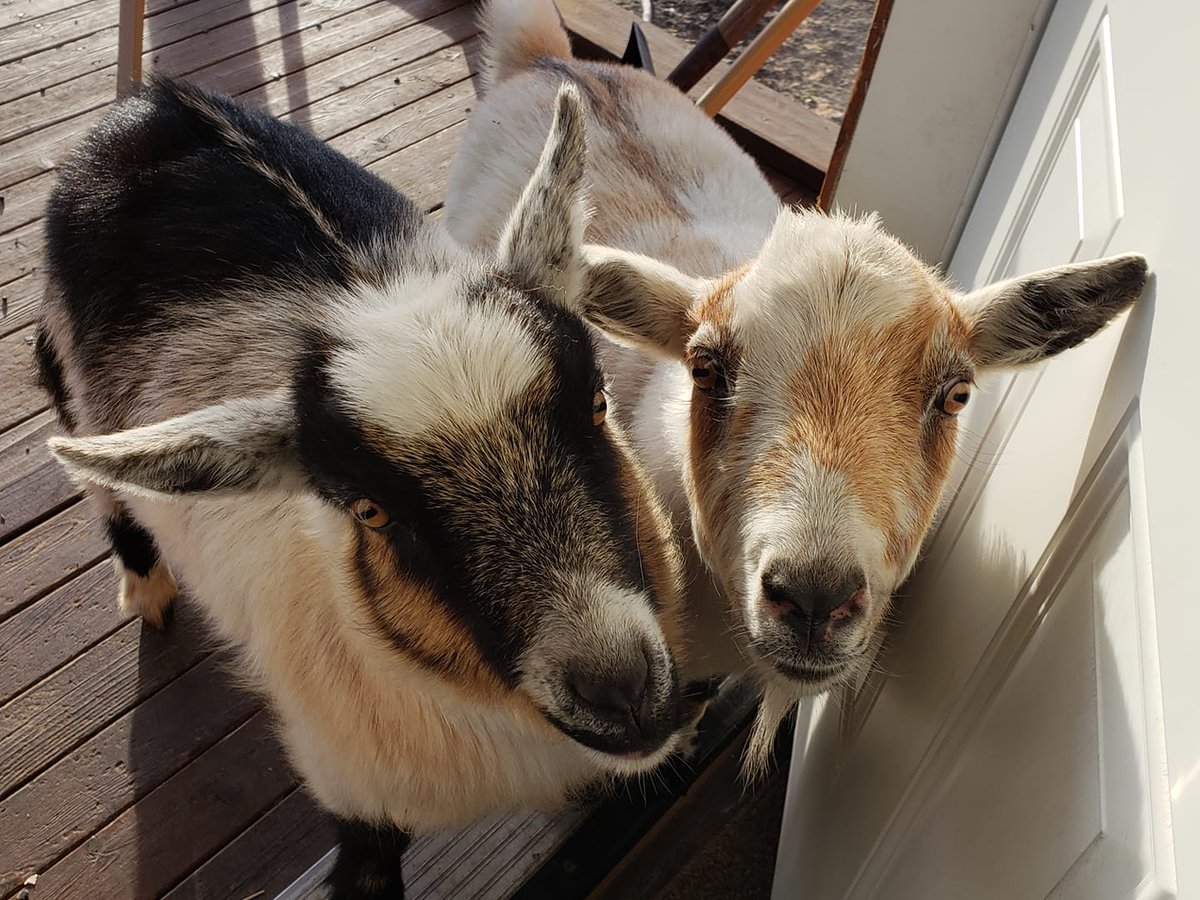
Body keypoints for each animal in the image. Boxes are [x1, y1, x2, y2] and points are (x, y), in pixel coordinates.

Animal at [37, 76, 702, 899]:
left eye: (598, 403)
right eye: (371, 509)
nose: (619, 690)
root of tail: (150, 101)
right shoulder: (351, 789)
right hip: (68, 375)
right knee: (105, 492)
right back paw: (146, 587)